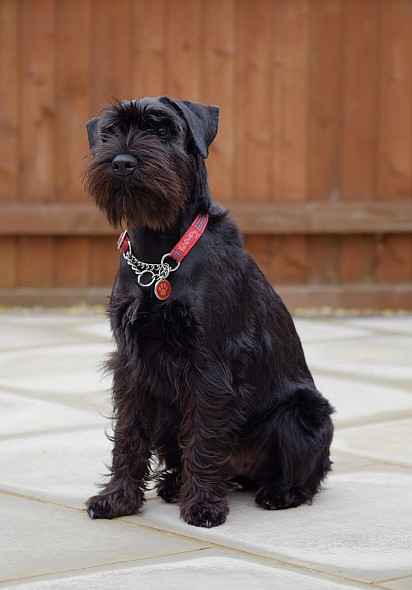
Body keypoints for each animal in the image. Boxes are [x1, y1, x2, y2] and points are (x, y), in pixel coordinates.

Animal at [82, 97, 334, 532]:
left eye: (162, 130)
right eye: (111, 130)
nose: (123, 162)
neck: (160, 252)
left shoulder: (210, 365)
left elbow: (204, 436)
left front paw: (202, 506)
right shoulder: (130, 365)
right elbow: (129, 435)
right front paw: (118, 499)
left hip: (303, 417)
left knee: (307, 477)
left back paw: (276, 494)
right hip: (167, 416)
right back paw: (173, 485)